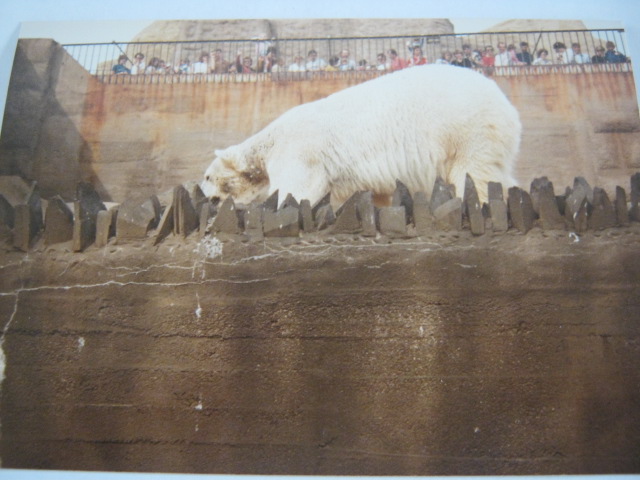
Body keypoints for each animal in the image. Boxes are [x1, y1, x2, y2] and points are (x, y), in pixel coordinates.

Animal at [201, 64, 521, 207]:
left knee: (473, 173)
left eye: (207, 177)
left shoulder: (299, 152)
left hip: (465, 129)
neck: (270, 139)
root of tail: (507, 106)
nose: (206, 196)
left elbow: (297, 189)